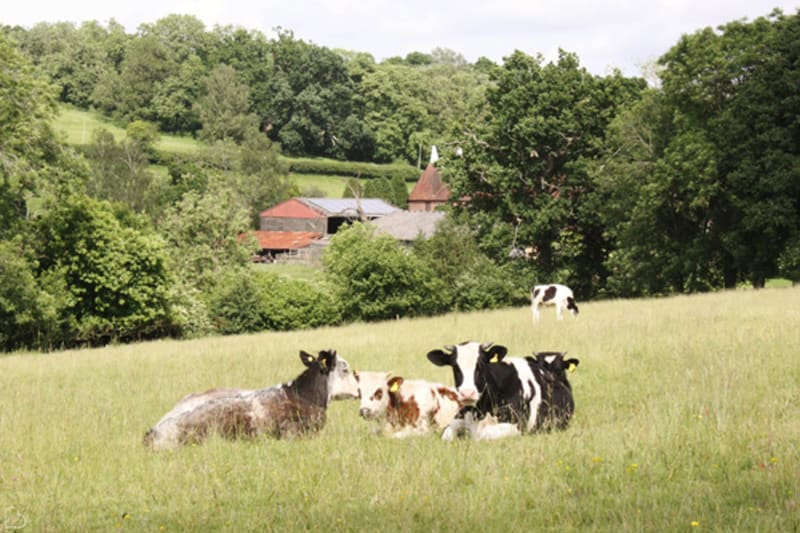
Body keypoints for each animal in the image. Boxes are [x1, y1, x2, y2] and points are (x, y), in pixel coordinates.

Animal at [428, 342, 580, 438]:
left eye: (481, 364)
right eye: (455, 366)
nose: (467, 393)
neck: (480, 411)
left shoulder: (517, 424)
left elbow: (483, 434)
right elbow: (446, 435)